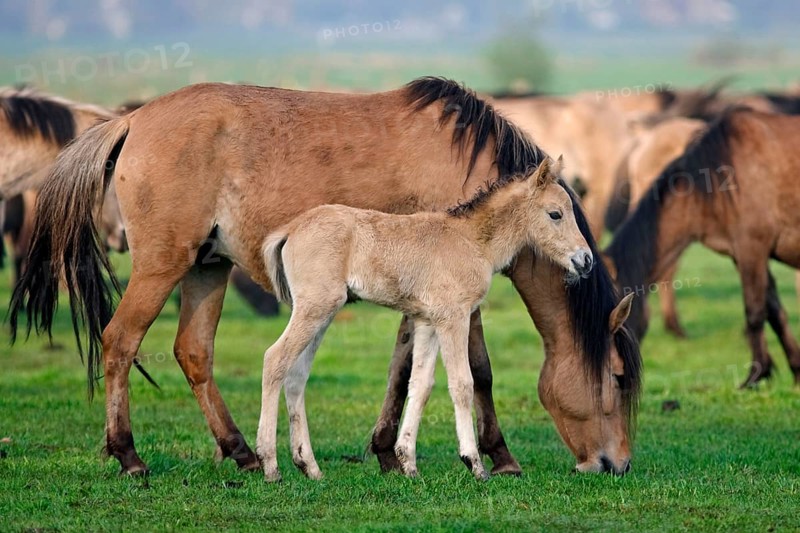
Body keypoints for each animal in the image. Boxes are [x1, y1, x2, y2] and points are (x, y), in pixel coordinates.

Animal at [257, 159, 593, 482]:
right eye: (555, 214)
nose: (585, 260)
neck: (472, 241)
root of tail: (291, 229)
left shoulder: (427, 322)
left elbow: (421, 384)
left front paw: (408, 463)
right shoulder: (453, 318)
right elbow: (462, 383)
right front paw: (474, 464)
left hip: (322, 312)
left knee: (297, 374)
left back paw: (310, 467)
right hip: (316, 306)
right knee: (275, 359)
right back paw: (270, 465)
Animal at [606, 108, 800, 387]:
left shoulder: (753, 249)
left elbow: (755, 312)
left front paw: (755, 375)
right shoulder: (744, 255)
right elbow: (775, 311)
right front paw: (795, 371)